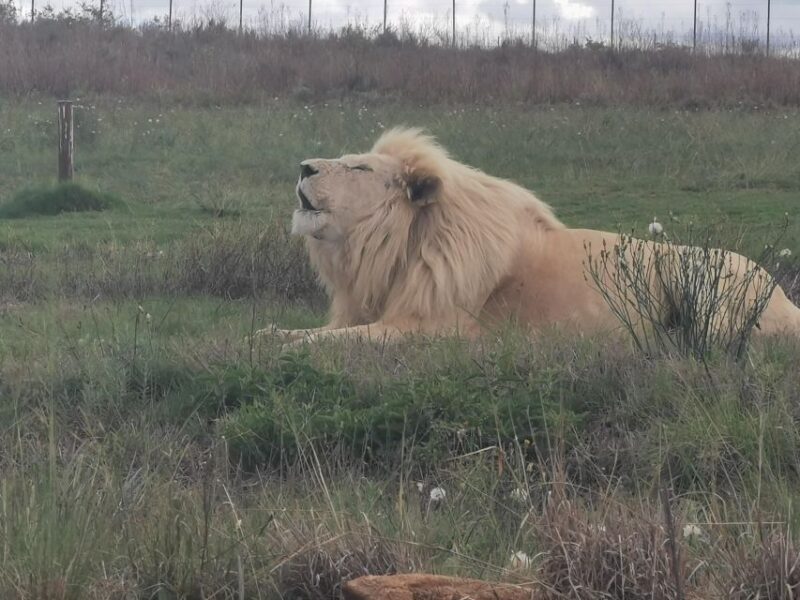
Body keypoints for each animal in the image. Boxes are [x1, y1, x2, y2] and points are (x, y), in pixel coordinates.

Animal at [269, 128, 800, 344]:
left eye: (358, 167)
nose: (302, 166)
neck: (392, 250)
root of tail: (783, 296)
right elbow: (305, 333)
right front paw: (271, 335)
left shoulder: (432, 328)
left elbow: (335, 343)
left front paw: (289, 347)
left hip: (694, 272)